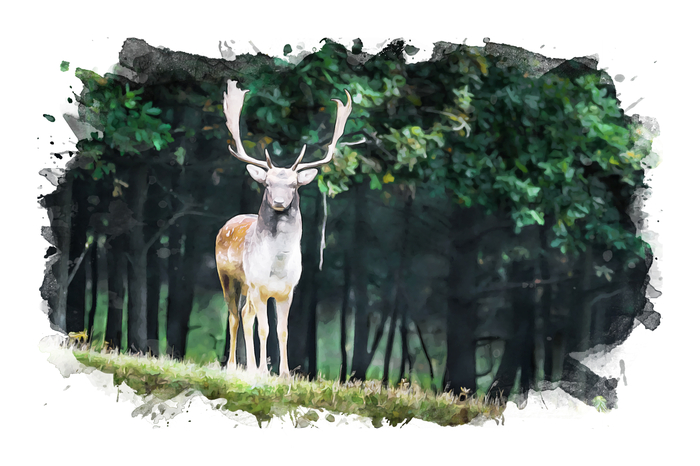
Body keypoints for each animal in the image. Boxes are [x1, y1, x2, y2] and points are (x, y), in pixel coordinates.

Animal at [215, 80, 352, 376]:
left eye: (293, 185)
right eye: (267, 184)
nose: (278, 202)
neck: (277, 266)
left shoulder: (288, 290)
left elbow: (283, 330)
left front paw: (285, 374)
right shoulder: (258, 285)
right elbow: (264, 328)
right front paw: (264, 372)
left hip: (247, 287)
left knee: (245, 315)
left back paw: (249, 366)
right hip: (229, 277)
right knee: (234, 315)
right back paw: (234, 366)